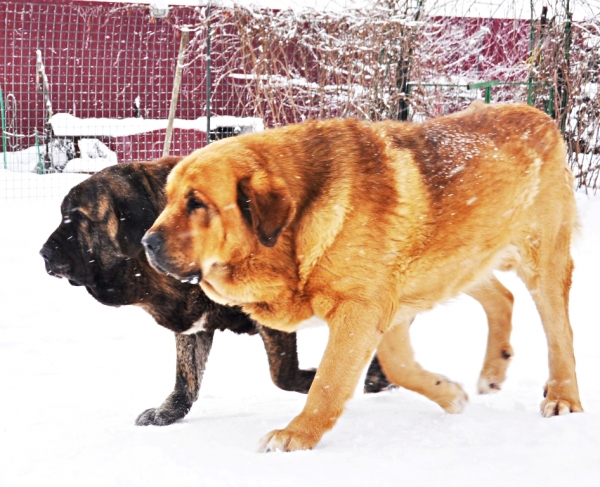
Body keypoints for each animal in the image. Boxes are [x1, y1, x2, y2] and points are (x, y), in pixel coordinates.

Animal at [39, 157, 392, 428]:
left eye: (78, 217)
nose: (43, 253)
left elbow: (282, 373)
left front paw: (315, 380)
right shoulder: (192, 323)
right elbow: (186, 378)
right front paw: (167, 413)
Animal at [144, 104, 580, 454]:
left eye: (197, 203)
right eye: (167, 200)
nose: (147, 243)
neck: (295, 229)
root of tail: (540, 115)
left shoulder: (361, 310)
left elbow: (328, 381)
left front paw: (297, 435)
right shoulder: (389, 310)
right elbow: (400, 367)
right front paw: (449, 395)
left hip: (541, 262)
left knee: (560, 335)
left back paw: (563, 397)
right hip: (460, 259)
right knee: (501, 297)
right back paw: (493, 371)